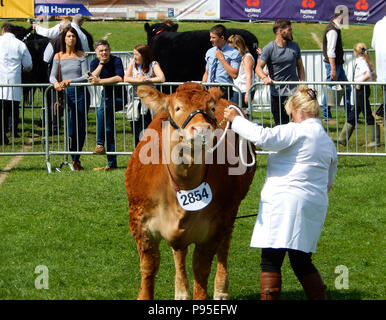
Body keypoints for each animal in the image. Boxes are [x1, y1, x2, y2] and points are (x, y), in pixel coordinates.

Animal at [125, 82, 255, 300]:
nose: (202, 129)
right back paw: (181, 292)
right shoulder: (139, 221)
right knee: (180, 252)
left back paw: (221, 290)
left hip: (231, 211)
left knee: (224, 248)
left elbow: (201, 269)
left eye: (211, 108)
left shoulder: (214, 226)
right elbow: (149, 267)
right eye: (177, 108)